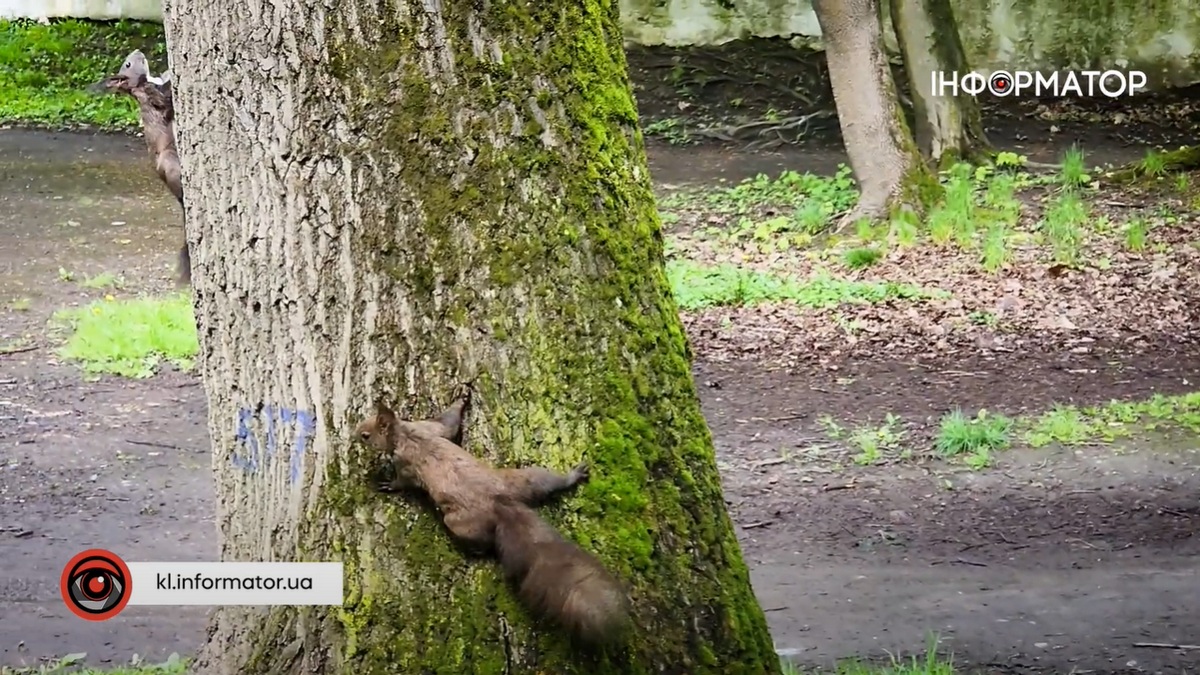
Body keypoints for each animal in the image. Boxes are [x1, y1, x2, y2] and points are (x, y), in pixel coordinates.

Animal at [350, 391, 633, 643]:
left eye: (366, 434)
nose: (353, 434)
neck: (404, 433)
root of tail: (501, 503)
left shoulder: (407, 463)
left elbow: (404, 481)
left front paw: (388, 484)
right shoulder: (431, 427)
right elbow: (448, 424)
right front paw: (462, 396)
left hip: (459, 522)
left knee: (480, 539)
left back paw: (476, 550)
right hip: (524, 479)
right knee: (547, 481)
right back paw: (571, 477)